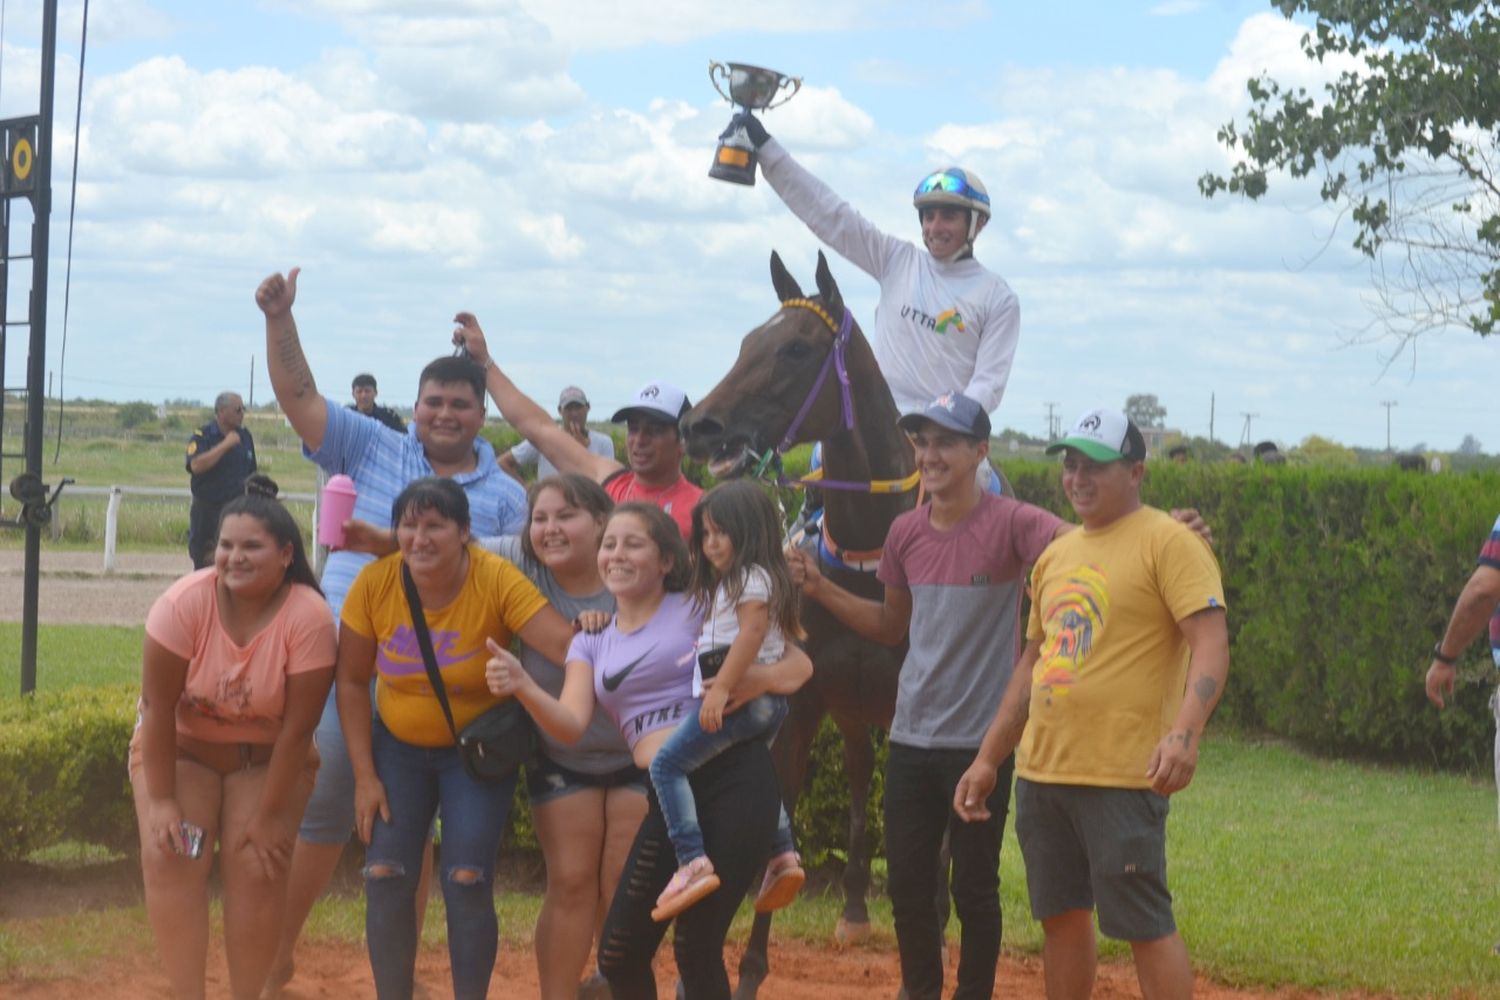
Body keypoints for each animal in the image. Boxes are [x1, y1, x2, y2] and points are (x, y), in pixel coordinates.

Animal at [687, 250, 918, 1000]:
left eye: (794, 349)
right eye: (745, 341)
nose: (700, 425)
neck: (871, 561)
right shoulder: (806, 705)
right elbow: (778, 812)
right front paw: (751, 971)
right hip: (851, 712)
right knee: (858, 779)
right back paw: (853, 909)